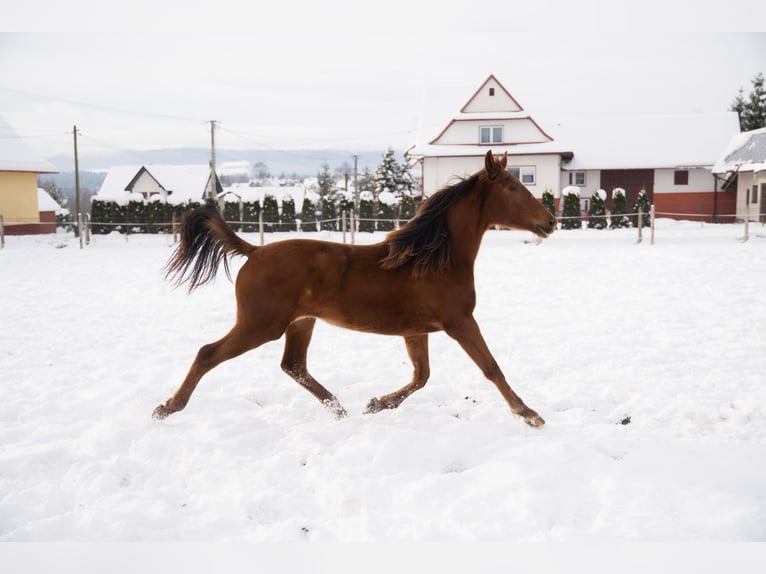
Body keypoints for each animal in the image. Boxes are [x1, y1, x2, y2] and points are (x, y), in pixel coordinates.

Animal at [153, 150, 556, 427]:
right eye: (512, 186)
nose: (551, 221)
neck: (436, 259)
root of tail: (254, 250)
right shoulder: (460, 322)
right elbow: (491, 367)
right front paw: (529, 413)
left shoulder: (417, 330)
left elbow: (421, 376)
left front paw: (377, 403)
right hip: (260, 325)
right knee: (208, 353)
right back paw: (167, 407)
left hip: (301, 322)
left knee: (293, 365)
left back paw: (339, 409)